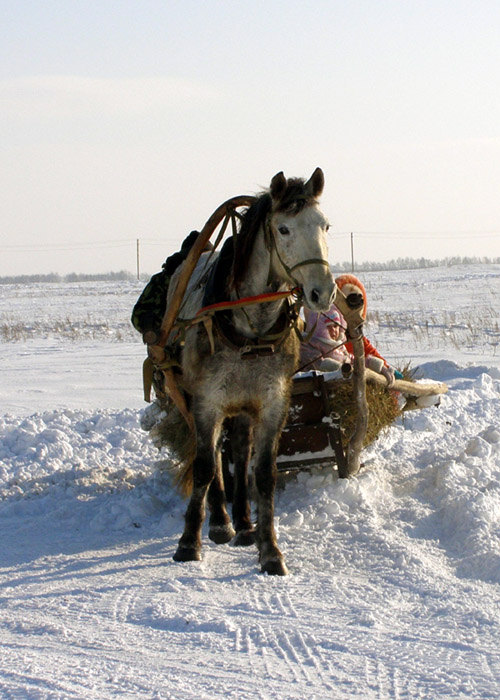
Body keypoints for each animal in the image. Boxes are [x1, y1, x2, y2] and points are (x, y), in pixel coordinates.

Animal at [166, 168, 334, 576]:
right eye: (284, 229)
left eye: (325, 225)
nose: (323, 292)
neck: (250, 329)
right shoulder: (207, 402)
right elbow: (204, 467)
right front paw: (189, 542)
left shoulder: (273, 402)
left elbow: (263, 474)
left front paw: (270, 548)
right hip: (197, 399)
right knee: (214, 454)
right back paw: (221, 522)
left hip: (242, 404)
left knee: (240, 454)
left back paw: (243, 524)